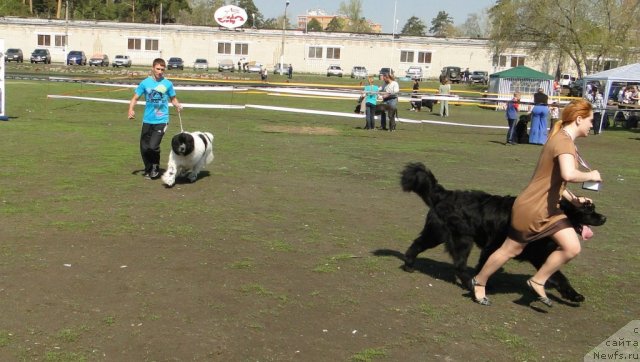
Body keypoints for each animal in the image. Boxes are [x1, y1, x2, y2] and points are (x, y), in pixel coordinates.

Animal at [400, 163, 604, 302]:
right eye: (588, 210)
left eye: (593, 208)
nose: (604, 218)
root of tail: (445, 194)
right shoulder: (494, 246)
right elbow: (484, 264)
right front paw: (481, 285)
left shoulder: (540, 255)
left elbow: (559, 276)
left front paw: (573, 295)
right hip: (457, 238)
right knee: (456, 263)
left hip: (441, 235)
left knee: (422, 246)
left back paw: (411, 265)